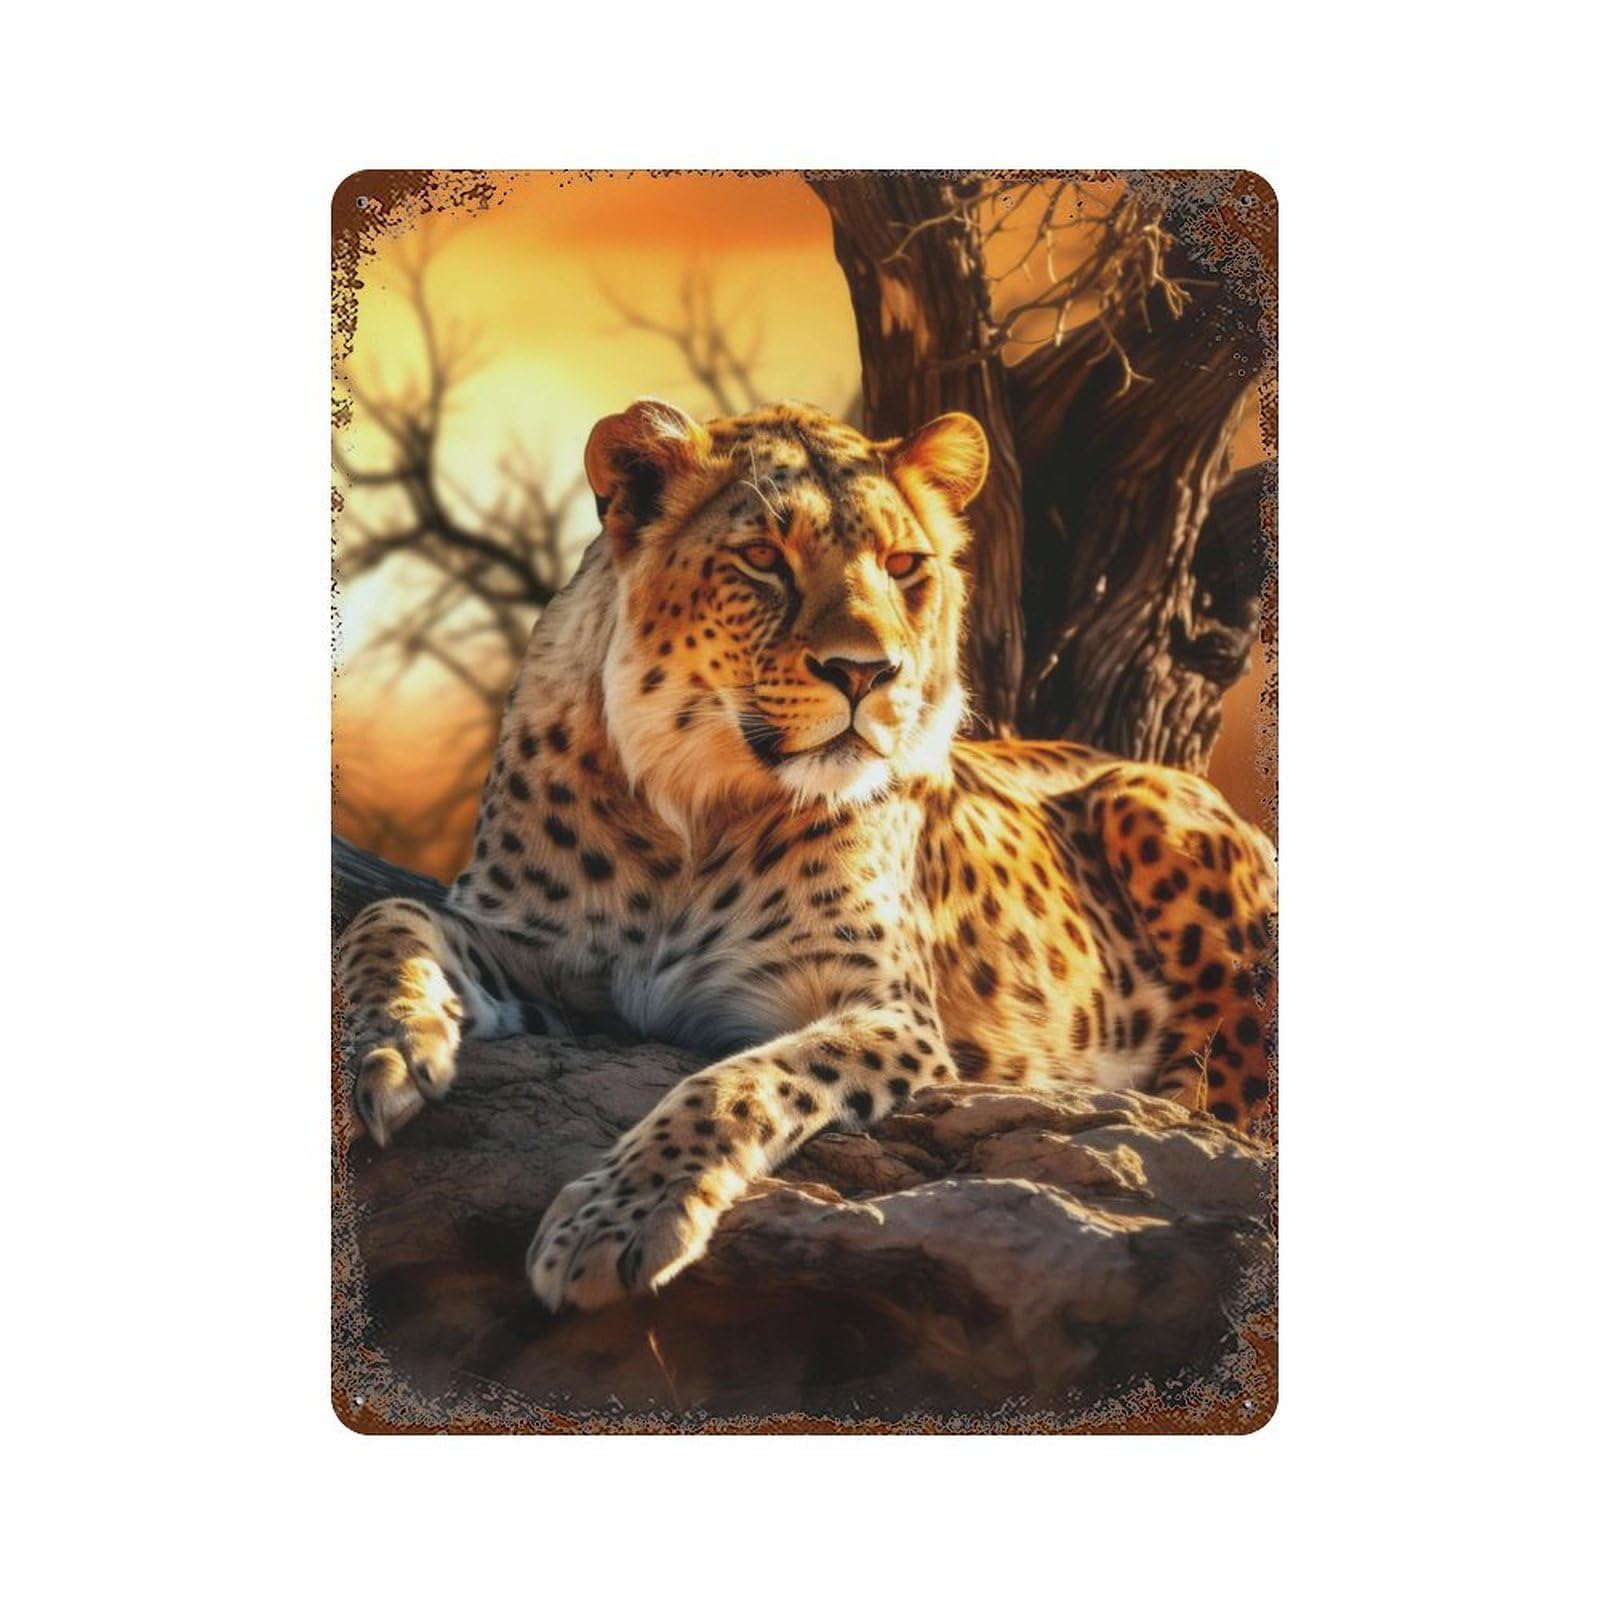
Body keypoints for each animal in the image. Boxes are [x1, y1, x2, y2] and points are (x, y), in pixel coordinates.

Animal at [337, 398, 1278, 1314]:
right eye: (763, 557)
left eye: (903, 565)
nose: (867, 674)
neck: (696, 814)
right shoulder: (547, 956)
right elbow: (392, 917)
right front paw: (383, 1050)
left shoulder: (885, 1012)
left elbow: (741, 1082)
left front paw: (619, 1219)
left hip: (1148, 805)